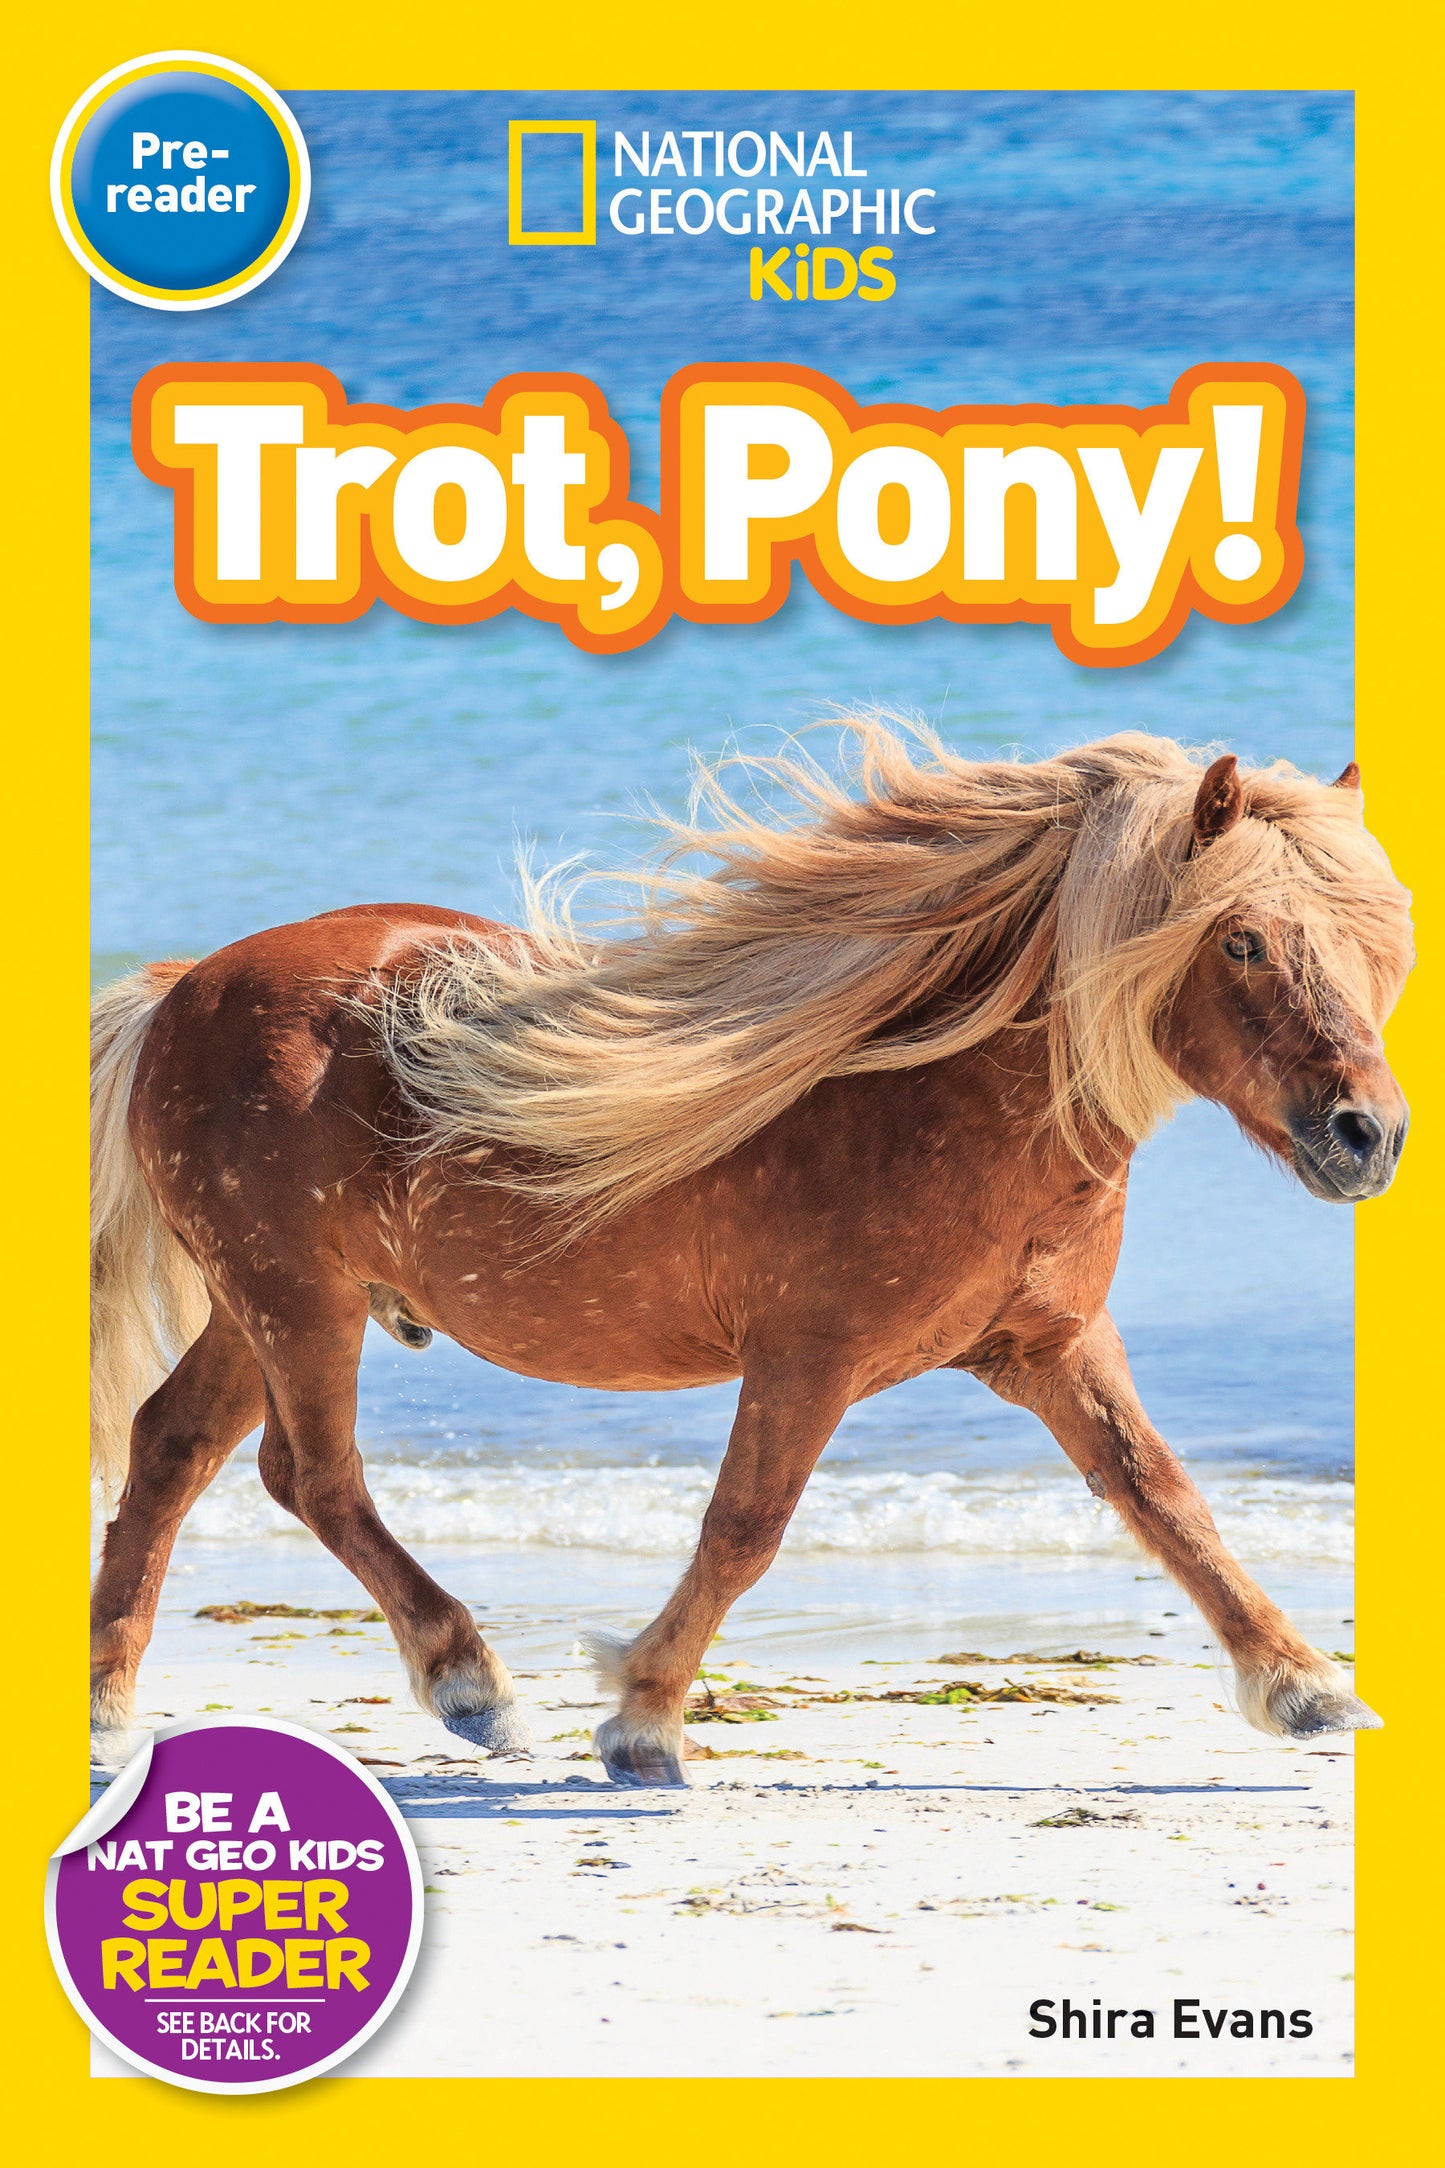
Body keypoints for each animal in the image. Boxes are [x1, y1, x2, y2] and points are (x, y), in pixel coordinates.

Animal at [89, 723, 1413, 1785]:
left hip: (261, 1306)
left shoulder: (1051, 1347)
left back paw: (109, 1707)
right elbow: (744, 1527)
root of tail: (186, 986)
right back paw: (470, 1683)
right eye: (1240, 941)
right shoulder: (805, 1359)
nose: (1368, 1134)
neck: (933, 1094)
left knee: (171, 1446)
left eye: (1377, 943)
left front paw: (1301, 1685)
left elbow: (1165, 1498)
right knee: (310, 1474)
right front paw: (642, 1722)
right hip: (298, 1300)